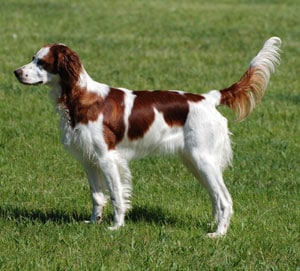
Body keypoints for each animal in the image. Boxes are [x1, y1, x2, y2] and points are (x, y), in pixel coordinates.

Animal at [14, 37, 282, 237]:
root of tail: (208, 98)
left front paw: (116, 227)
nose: (16, 72)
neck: (79, 97)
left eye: (42, 62)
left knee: (225, 199)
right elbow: (97, 196)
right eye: (32, 58)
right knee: (215, 197)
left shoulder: (107, 158)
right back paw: (213, 226)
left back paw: (218, 234)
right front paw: (94, 222)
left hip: (203, 160)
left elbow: (116, 195)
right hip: (194, 162)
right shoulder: (88, 160)